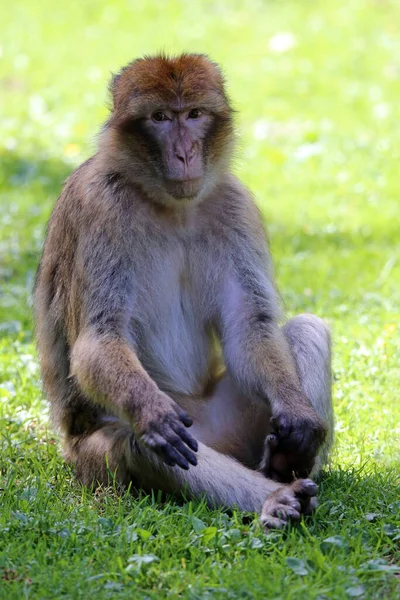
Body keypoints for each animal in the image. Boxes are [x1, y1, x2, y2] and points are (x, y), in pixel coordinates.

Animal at [35, 52, 334, 528]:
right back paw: (275, 498)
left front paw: (301, 419)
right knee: (138, 443)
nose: (185, 152)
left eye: (193, 115)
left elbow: (249, 325)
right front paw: (149, 411)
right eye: (160, 118)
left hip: (237, 427)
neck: (168, 206)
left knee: (306, 329)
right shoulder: (101, 208)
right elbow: (100, 338)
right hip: (99, 456)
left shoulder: (233, 203)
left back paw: (284, 466)